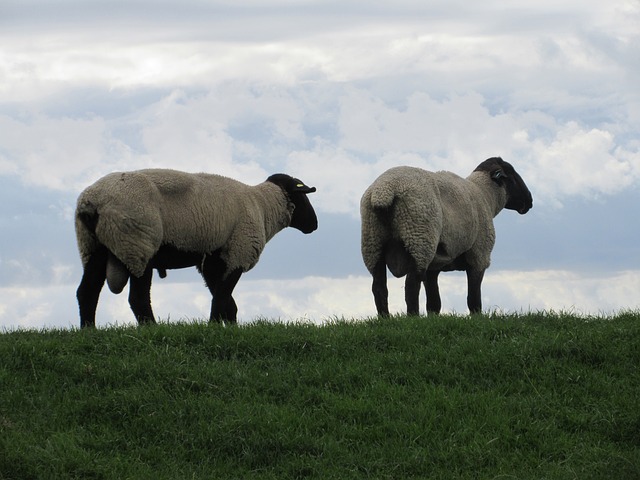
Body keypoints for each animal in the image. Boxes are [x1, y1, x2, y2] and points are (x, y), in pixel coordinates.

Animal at [74, 167, 318, 328]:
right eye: (304, 197)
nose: (314, 225)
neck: (264, 206)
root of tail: (91, 202)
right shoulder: (238, 252)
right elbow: (222, 296)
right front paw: (213, 327)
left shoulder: (212, 261)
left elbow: (226, 299)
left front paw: (229, 327)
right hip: (137, 244)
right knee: (138, 298)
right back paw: (151, 329)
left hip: (94, 247)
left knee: (86, 291)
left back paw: (89, 330)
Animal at [360, 156, 536, 316]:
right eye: (511, 174)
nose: (530, 200)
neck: (486, 195)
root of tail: (384, 191)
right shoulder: (479, 255)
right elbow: (474, 299)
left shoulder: (434, 267)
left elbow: (434, 303)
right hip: (419, 237)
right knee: (411, 285)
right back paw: (413, 317)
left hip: (373, 241)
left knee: (379, 287)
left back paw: (385, 318)